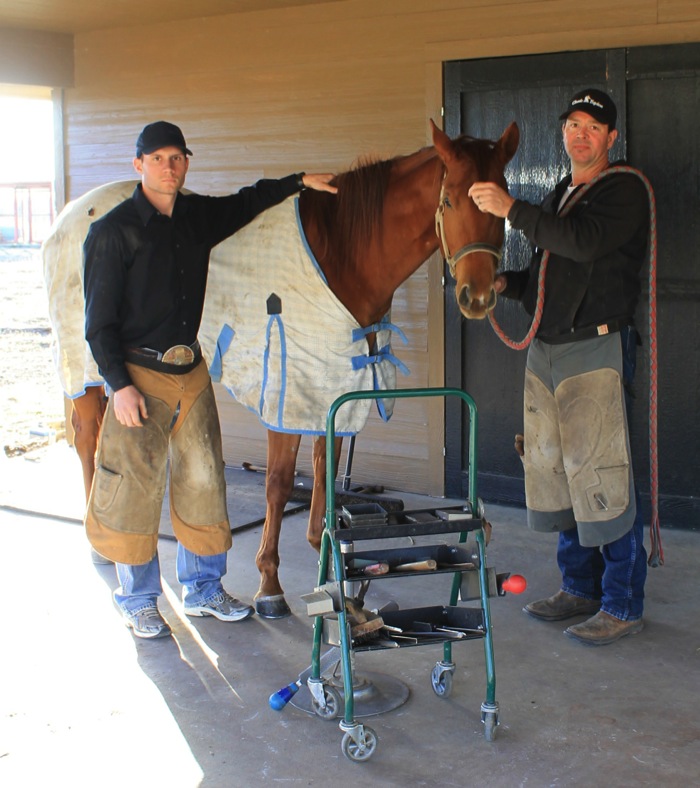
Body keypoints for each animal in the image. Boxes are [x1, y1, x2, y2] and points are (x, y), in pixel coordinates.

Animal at [42, 121, 516, 616]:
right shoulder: (287, 391)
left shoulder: (333, 388)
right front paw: (269, 583)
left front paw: (327, 558)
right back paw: (100, 548)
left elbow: (325, 470)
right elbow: (280, 482)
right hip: (84, 365)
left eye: (500, 203)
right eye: (450, 201)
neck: (344, 253)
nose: (478, 296)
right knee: (88, 439)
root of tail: (70, 214)